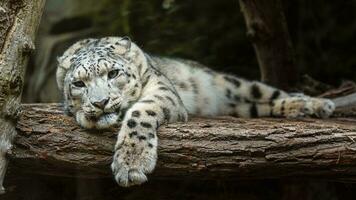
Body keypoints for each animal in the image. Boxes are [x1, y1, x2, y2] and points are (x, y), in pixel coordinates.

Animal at [56, 37, 336, 188]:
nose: (100, 101)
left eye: (113, 73)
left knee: (268, 93)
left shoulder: (162, 90)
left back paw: (316, 104)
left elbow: (139, 113)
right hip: (240, 105)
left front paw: (131, 164)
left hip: (234, 84)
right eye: (78, 83)